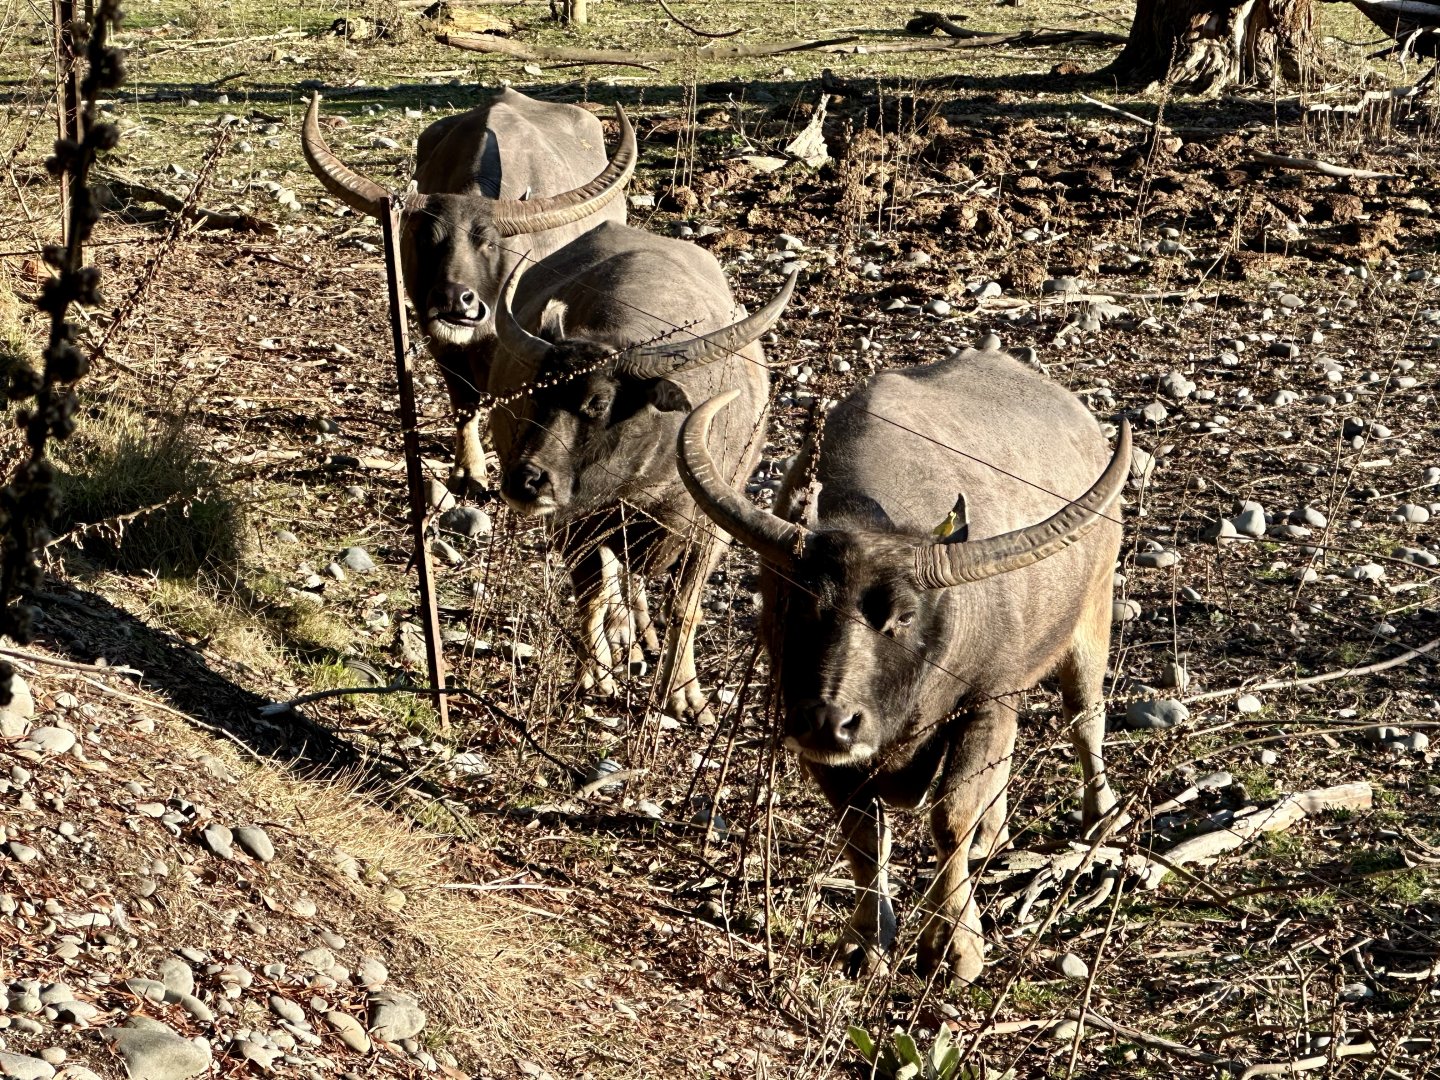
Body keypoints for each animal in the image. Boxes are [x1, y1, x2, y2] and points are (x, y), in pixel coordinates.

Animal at [677, 347, 1130, 982]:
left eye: (904, 616)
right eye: (799, 601)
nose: (830, 722)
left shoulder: (986, 700)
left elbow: (950, 819)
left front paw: (956, 947)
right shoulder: (818, 738)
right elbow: (865, 837)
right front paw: (866, 941)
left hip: (1094, 612)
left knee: (1086, 715)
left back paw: (1098, 817)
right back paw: (997, 834)